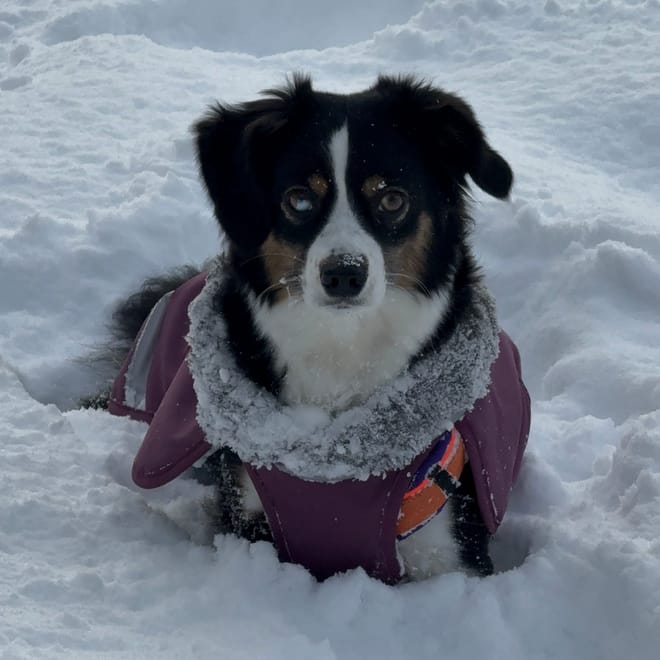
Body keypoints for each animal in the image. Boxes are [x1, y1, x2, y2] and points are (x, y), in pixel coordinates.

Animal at [98, 76, 532, 584]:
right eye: (300, 199)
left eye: (392, 199)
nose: (344, 274)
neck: (341, 347)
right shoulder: (247, 515)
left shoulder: (451, 546)